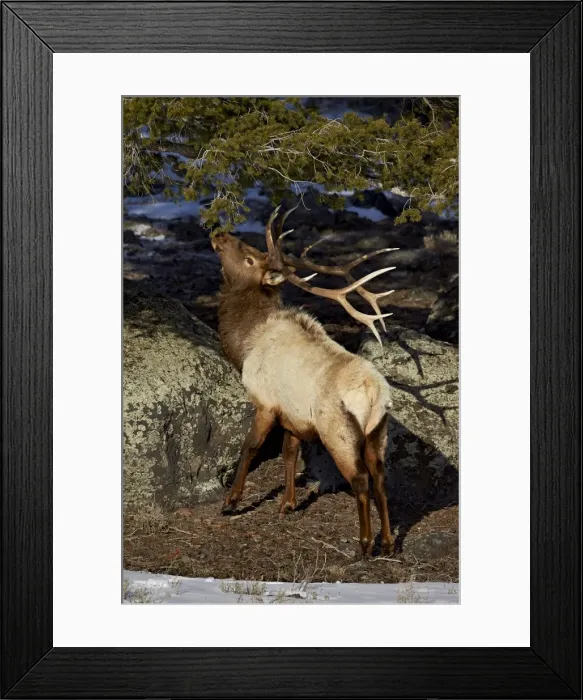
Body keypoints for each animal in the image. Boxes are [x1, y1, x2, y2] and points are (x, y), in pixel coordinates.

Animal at [211, 206, 398, 556]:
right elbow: (289, 454)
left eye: (249, 259)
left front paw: (231, 501)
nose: (219, 233)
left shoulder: (266, 402)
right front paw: (287, 504)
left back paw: (365, 544)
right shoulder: (293, 415)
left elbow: (250, 448)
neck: (244, 342)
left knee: (360, 480)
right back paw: (389, 542)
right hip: (378, 431)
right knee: (381, 478)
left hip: (338, 431)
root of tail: (374, 394)